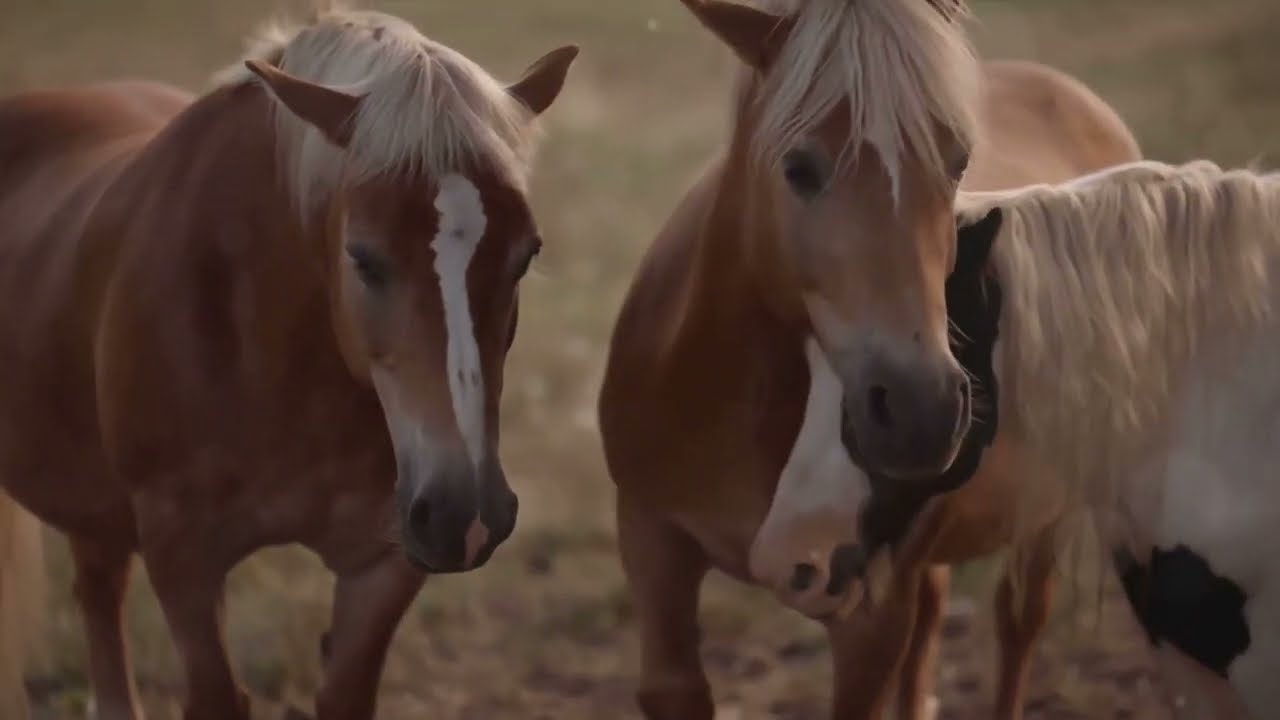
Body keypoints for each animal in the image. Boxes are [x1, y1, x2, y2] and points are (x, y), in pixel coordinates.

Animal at [597, 0, 1140, 717]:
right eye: (798, 167)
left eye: (958, 162)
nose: (921, 410)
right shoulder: (652, 541)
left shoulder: (870, 615)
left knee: (1019, 619)